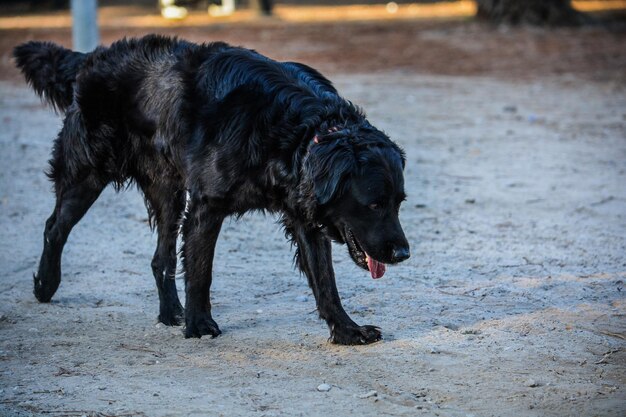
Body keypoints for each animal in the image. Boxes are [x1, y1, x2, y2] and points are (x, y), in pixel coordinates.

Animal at [14, 34, 410, 344]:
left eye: (399, 203)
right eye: (374, 205)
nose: (404, 254)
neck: (298, 132)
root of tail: (92, 57)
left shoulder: (304, 218)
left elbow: (326, 282)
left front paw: (346, 330)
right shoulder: (207, 206)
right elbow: (201, 271)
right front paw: (200, 324)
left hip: (168, 193)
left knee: (161, 258)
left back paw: (170, 311)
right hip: (89, 173)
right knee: (55, 226)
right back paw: (46, 284)